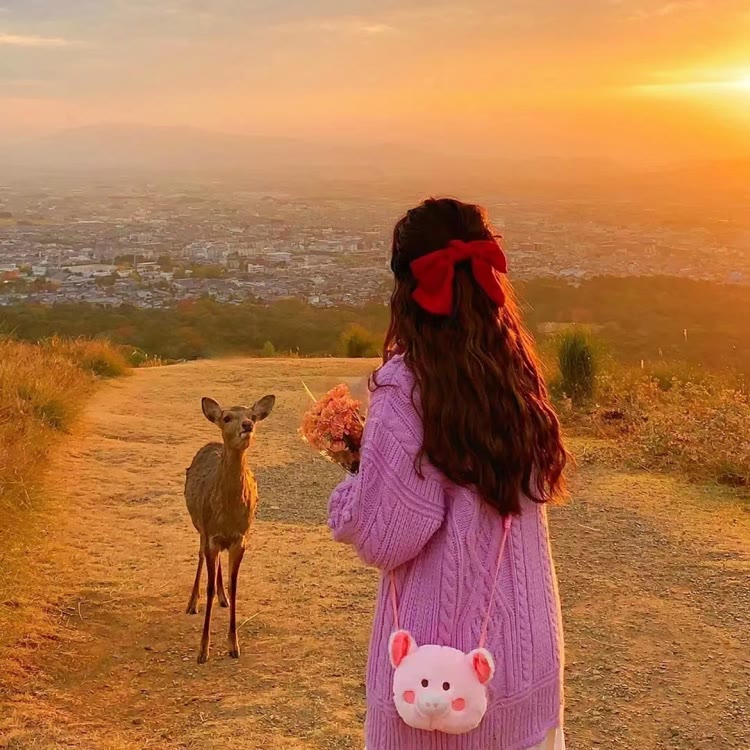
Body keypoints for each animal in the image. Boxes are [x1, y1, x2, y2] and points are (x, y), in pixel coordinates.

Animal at [185, 394, 276, 664]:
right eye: (226, 418)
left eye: (253, 415)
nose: (247, 425)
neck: (227, 515)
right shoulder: (211, 535)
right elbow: (208, 587)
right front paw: (202, 650)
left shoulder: (240, 538)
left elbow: (235, 586)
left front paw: (234, 646)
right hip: (199, 527)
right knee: (200, 558)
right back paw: (191, 603)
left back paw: (222, 598)